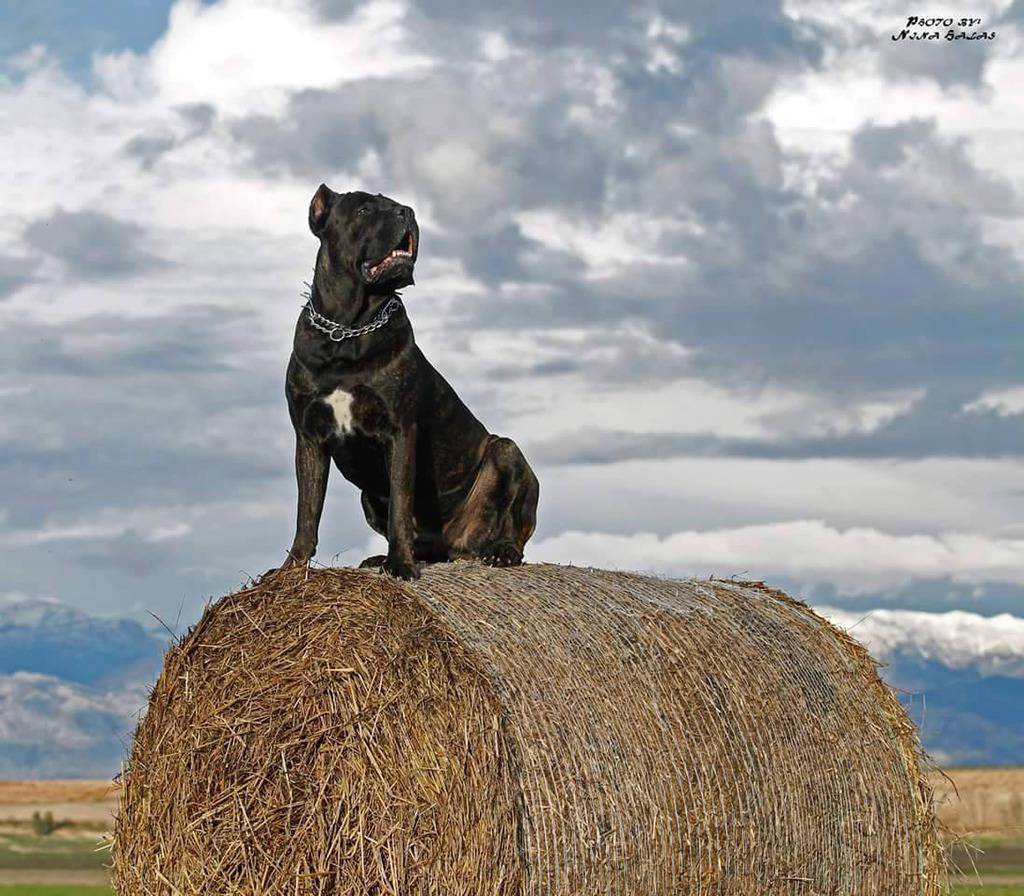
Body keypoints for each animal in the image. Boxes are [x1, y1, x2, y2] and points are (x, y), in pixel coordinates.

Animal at [280, 185, 536, 585]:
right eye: (365, 210)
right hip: (368, 498)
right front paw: (291, 569)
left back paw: (500, 551)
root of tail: (456, 545)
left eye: (393, 204)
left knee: (515, 528)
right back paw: (381, 558)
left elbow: (400, 505)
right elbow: (306, 511)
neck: (346, 331)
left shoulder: (399, 431)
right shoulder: (309, 437)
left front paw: (400, 565)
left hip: (507, 452)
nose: (407, 211)